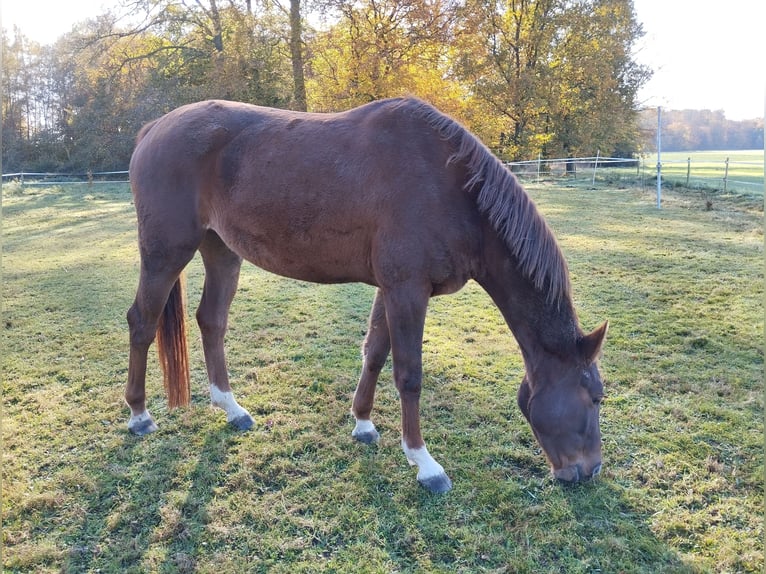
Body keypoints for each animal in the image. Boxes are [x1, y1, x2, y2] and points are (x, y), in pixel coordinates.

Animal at [126, 97, 608, 492]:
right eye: (595, 397)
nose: (590, 470)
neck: (449, 186)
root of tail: (153, 128)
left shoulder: (391, 289)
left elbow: (375, 353)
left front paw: (362, 424)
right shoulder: (407, 291)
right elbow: (409, 375)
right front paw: (425, 464)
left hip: (221, 251)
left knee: (211, 321)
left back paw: (231, 408)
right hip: (166, 253)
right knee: (142, 322)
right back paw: (139, 415)